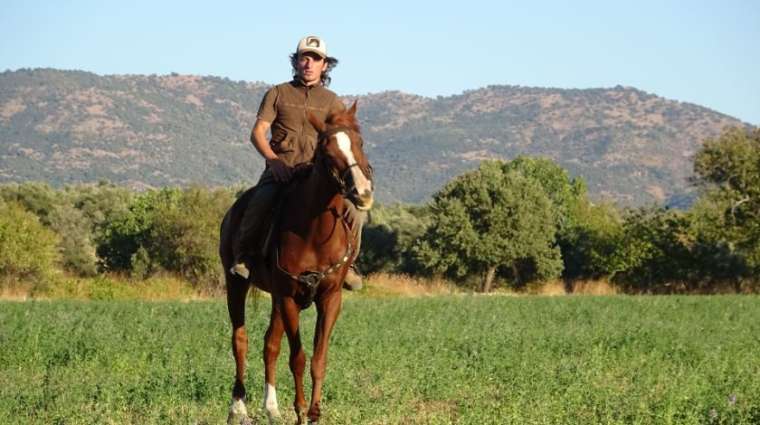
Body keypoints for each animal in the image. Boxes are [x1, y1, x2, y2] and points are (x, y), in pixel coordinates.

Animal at [218, 102, 372, 424]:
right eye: (326, 150)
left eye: (360, 142)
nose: (363, 192)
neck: (314, 232)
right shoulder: (289, 297)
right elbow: (298, 357)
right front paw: (300, 410)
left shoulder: (329, 298)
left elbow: (318, 357)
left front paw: (314, 410)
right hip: (235, 283)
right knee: (240, 340)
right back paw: (238, 407)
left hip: (277, 297)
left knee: (270, 345)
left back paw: (271, 407)